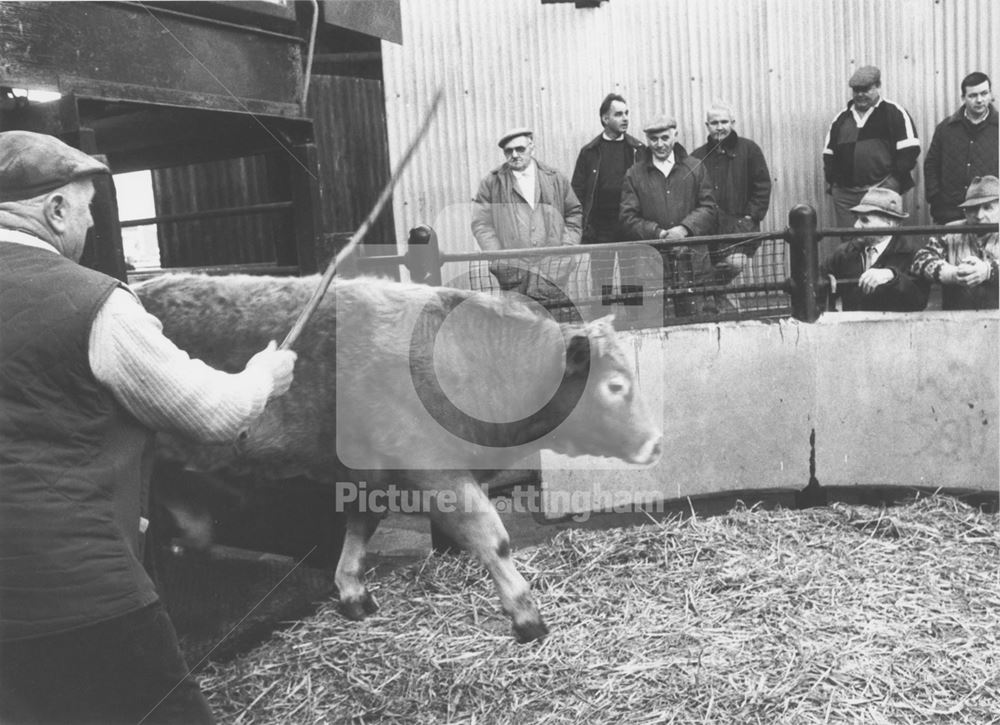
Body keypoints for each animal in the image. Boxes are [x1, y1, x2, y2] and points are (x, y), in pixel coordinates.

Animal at [135, 272, 664, 640]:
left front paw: (351, 590)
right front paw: (525, 614)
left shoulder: (371, 474)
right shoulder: (435, 471)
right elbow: (491, 536)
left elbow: (360, 525)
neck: (465, 361)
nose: (655, 442)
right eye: (615, 386)